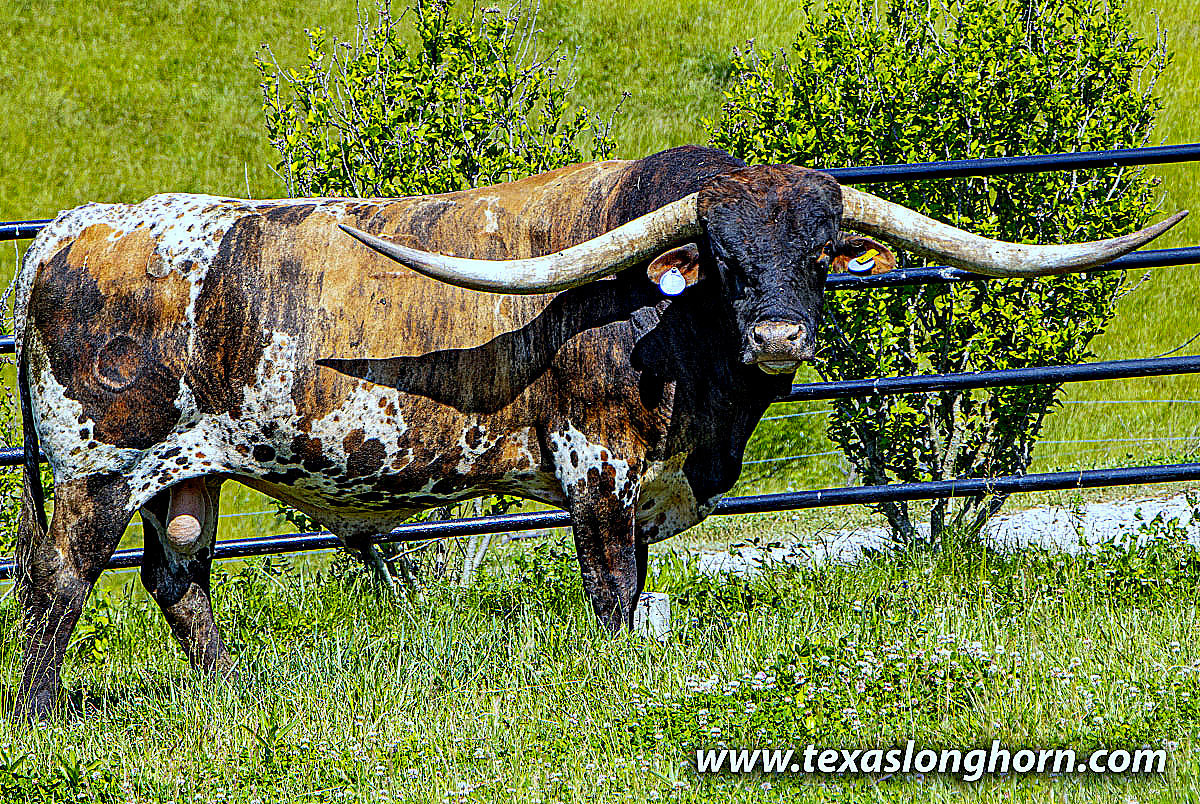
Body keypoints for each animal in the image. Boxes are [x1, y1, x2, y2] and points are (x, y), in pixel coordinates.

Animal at [12, 145, 1185, 719]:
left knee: (180, 576)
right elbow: (614, 593)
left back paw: (226, 694)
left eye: (819, 253)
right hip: (98, 467)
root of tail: (68, 231)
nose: (779, 333)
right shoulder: (599, 471)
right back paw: (40, 715)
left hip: (188, 471)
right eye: (722, 256)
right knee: (58, 578)